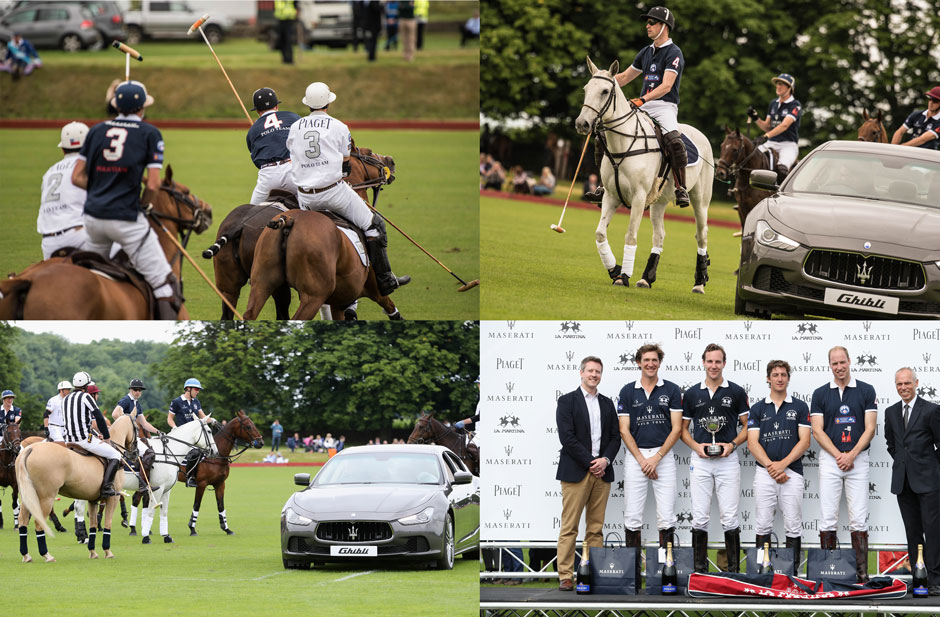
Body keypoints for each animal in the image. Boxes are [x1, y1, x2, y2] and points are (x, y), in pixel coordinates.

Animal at [15, 414, 136, 564]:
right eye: (137, 428)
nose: (135, 453)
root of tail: (29, 449)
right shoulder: (112, 497)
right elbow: (107, 523)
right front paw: (107, 551)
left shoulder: (92, 500)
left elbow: (93, 524)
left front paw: (93, 552)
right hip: (46, 497)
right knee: (39, 522)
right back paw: (47, 555)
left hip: (27, 495)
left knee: (23, 521)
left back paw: (26, 555)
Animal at [572, 56, 712, 292]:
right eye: (586, 89)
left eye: (605, 91)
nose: (582, 124)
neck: (623, 143)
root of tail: (702, 135)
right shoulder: (611, 196)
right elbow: (600, 233)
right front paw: (615, 270)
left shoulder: (638, 197)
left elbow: (630, 236)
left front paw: (623, 276)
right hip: (658, 201)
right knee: (659, 235)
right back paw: (647, 277)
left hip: (701, 199)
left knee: (701, 235)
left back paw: (700, 283)